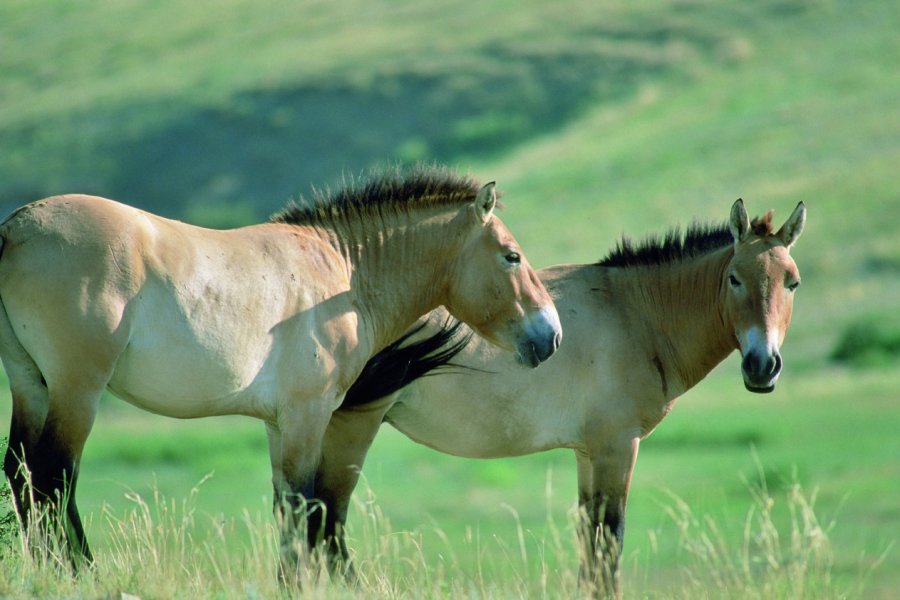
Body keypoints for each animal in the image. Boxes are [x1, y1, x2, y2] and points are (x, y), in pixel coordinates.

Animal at [0, 165, 564, 580]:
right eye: (512, 256)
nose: (551, 335)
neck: (342, 272)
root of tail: (15, 227)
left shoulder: (279, 424)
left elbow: (288, 510)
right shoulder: (307, 416)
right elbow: (305, 507)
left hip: (32, 385)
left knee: (24, 475)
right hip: (77, 390)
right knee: (53, 477)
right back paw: (80, 575)